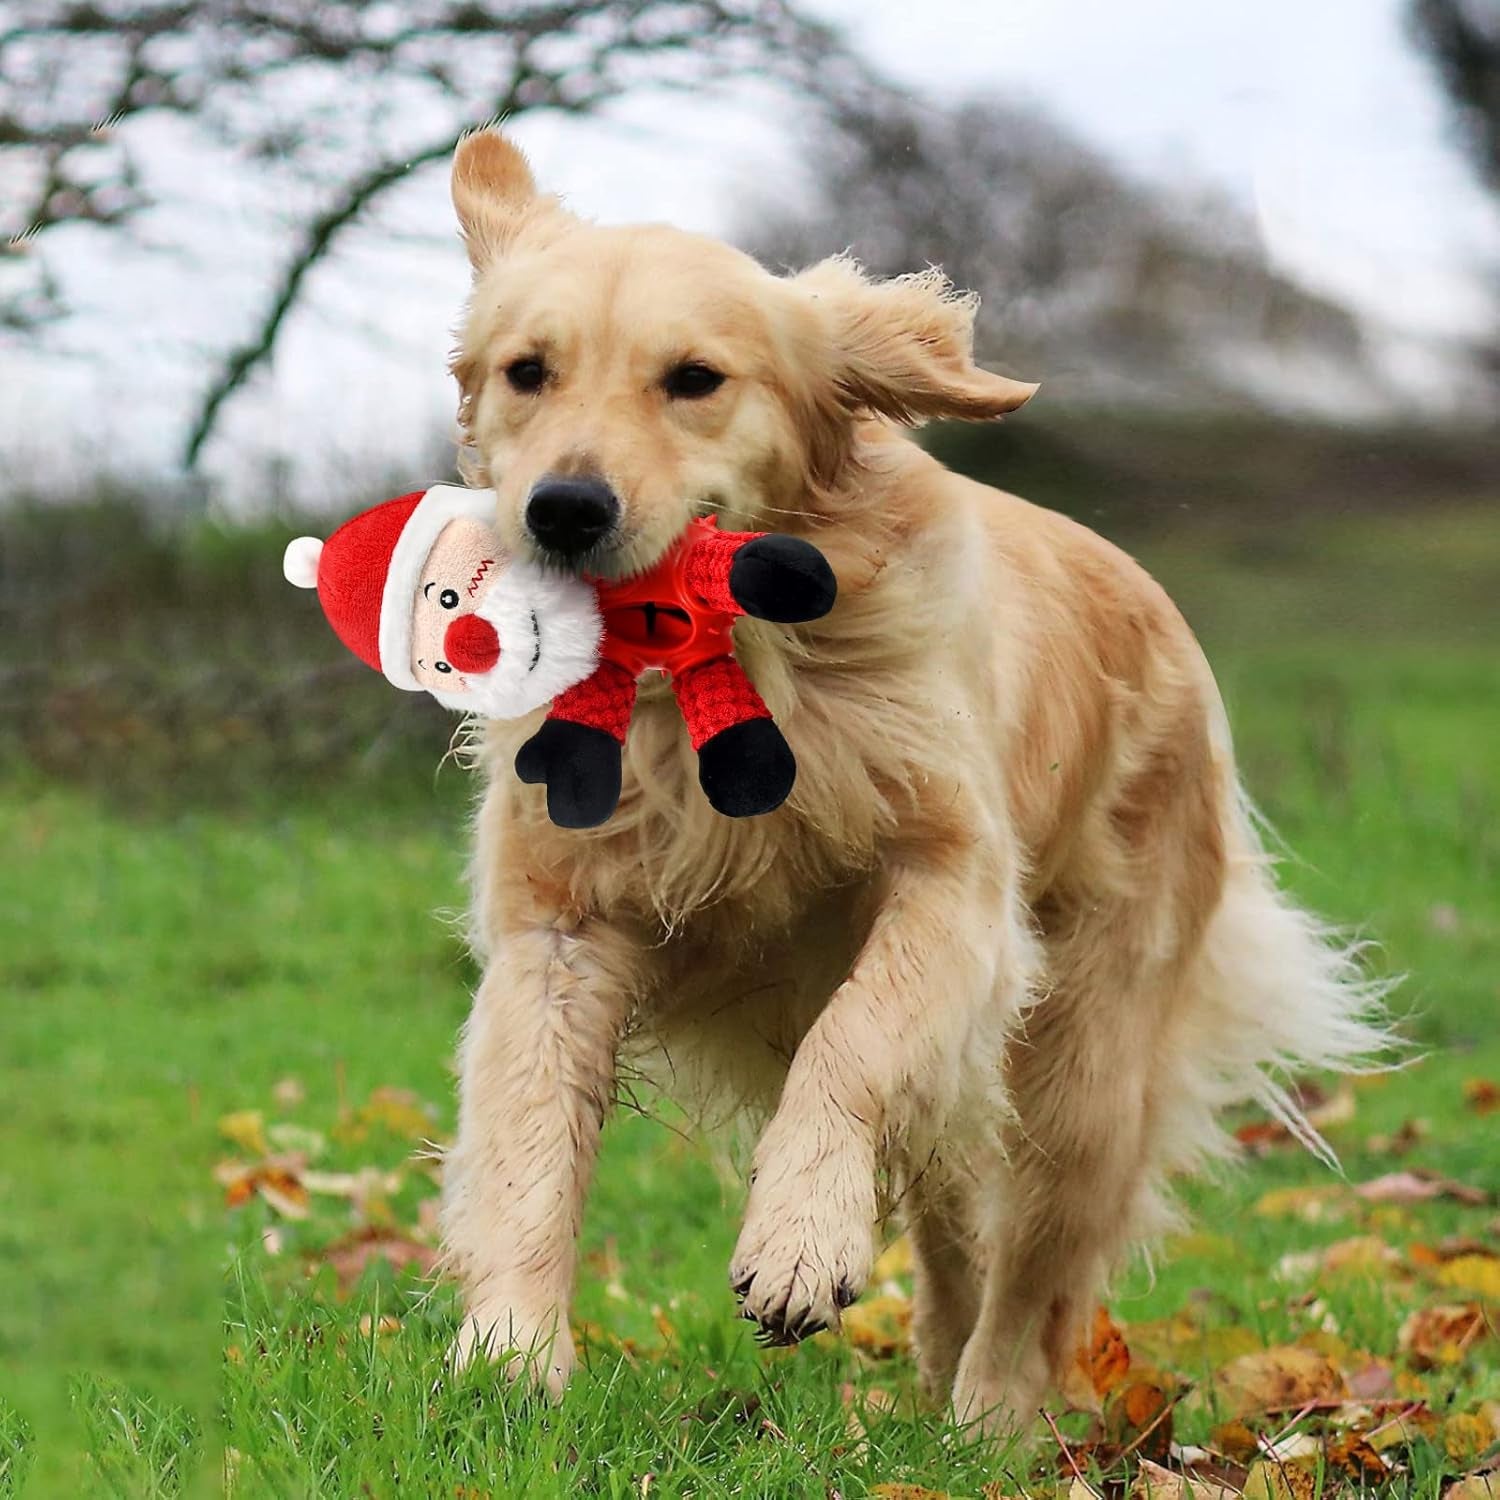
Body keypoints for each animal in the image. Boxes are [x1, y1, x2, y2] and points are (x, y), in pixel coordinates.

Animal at [438, 129, 1386, 1428]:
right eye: (529, 371)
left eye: (695, 379)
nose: (564, 509)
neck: (720, 670)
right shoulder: (562, 923)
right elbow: (531, 1135)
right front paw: (514, 1355)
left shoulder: (953, 888)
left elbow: (853, 1041)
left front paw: (797, 1242)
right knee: (955, 1223)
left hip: (1086, 1061)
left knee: (1037, 1272)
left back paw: (988, 1423)